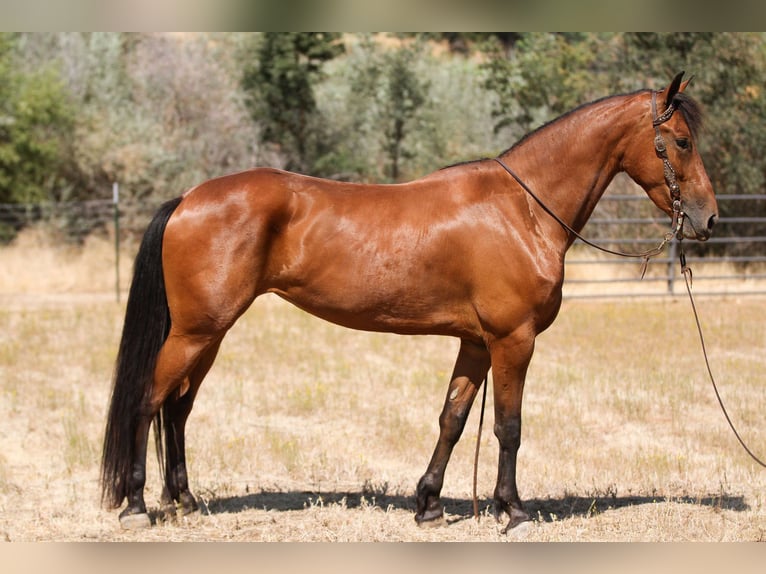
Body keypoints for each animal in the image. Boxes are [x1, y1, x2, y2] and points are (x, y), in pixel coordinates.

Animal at [101, 72, 718, 531]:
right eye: (682, 141)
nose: (709, 218)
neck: (521, 209)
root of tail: (188, 198)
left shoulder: (476, 343)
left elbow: (453, 418)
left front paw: (429, 504)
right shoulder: (512, 340)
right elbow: (509, 426)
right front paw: (513, 510)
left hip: (207, 334)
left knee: (178, 409)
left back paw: (183, 500)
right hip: (196, 332)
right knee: (148, 401)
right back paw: (136, 506)